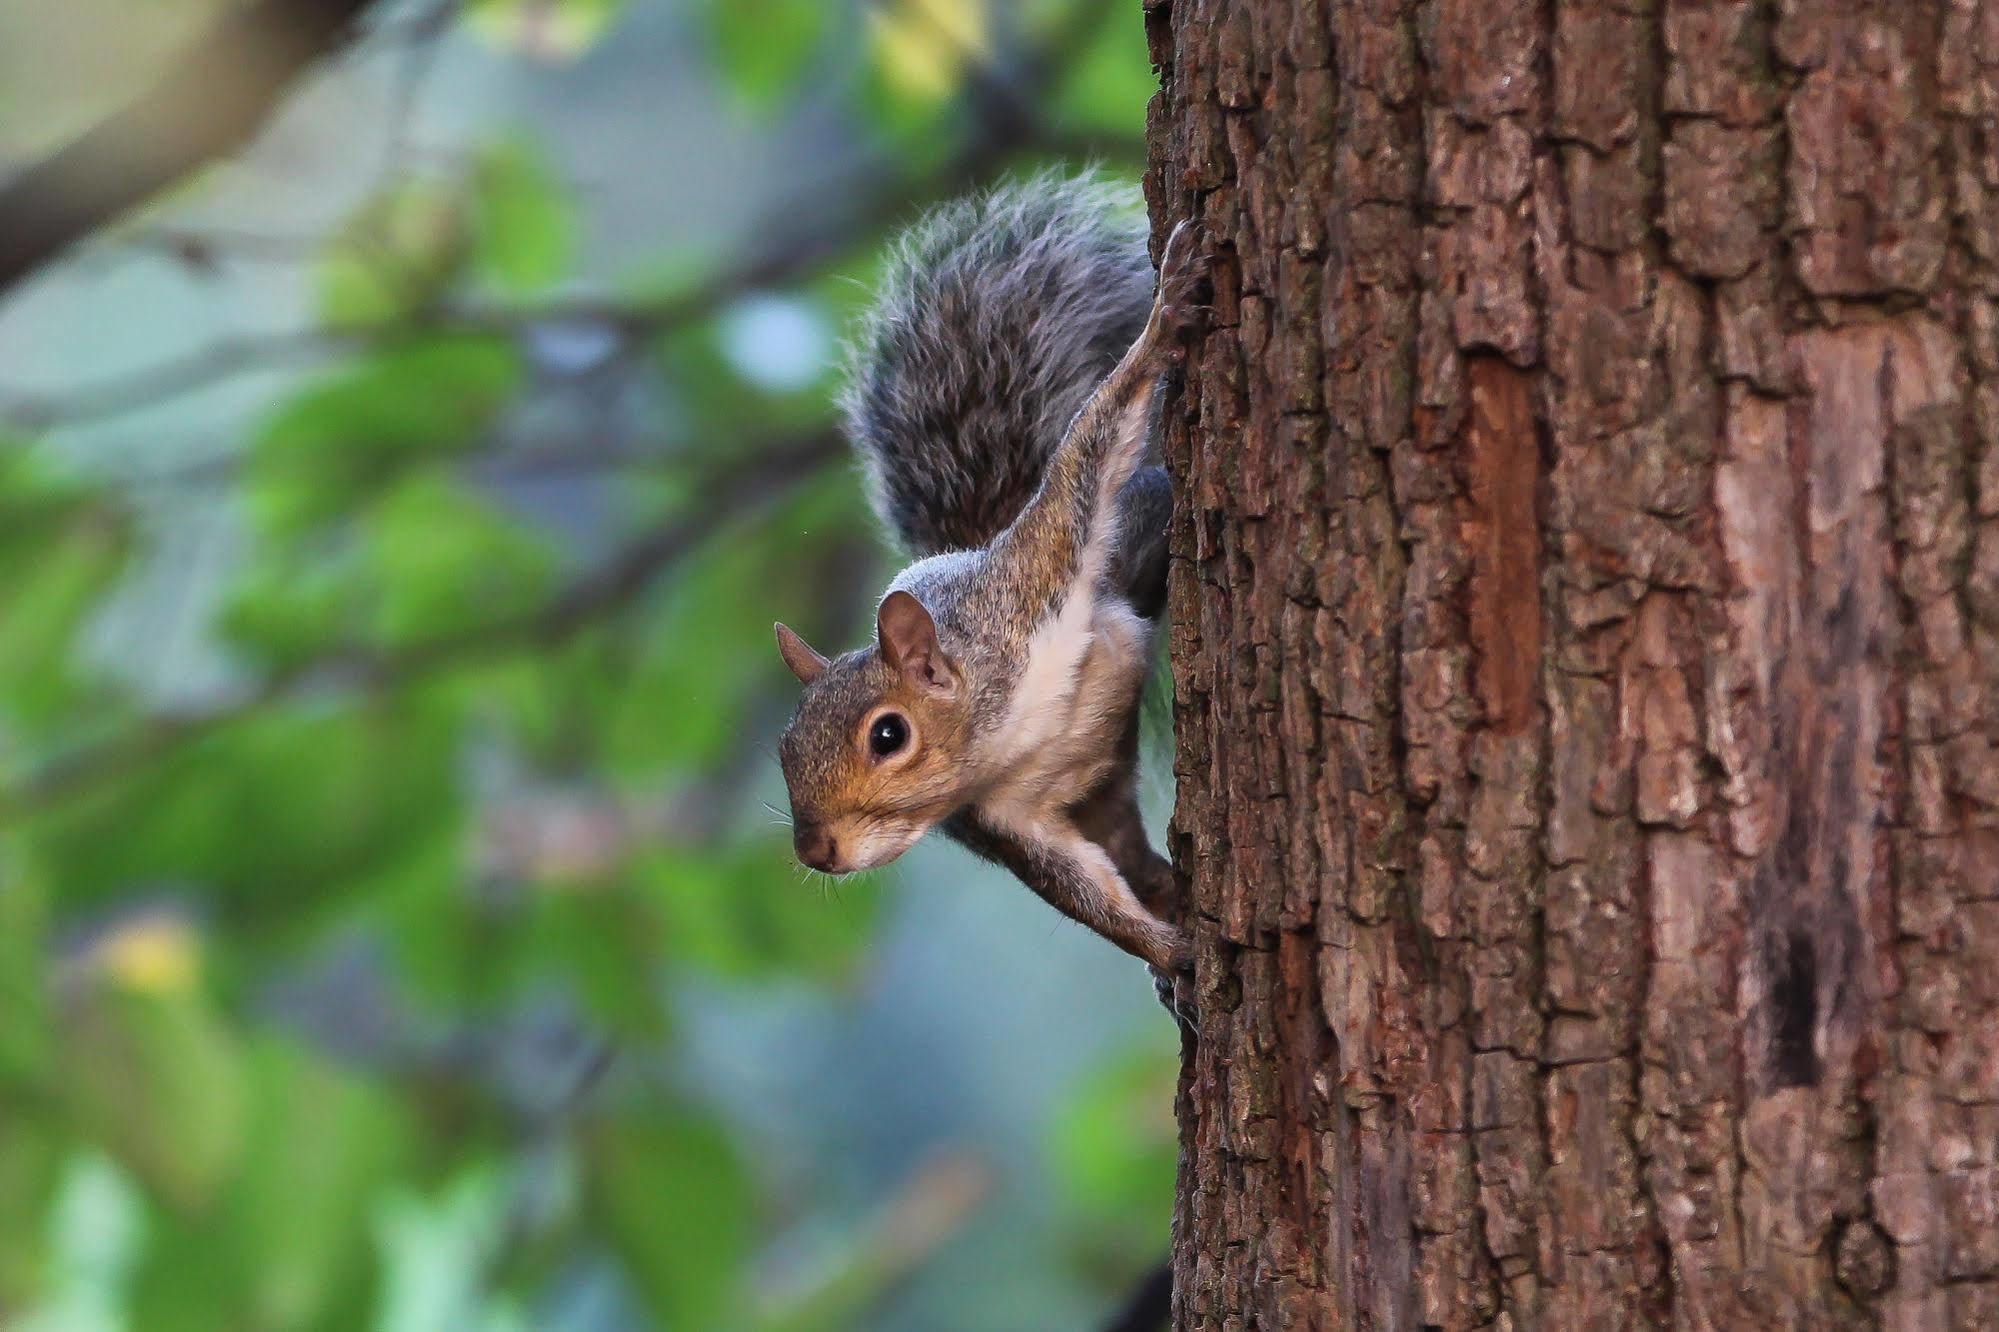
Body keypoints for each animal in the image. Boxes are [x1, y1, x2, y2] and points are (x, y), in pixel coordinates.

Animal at [767, 174, 1199, 984]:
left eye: (888, 735)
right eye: (784, 748)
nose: (815, 850)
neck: (1001, 736)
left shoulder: (1035, 575)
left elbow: (1085, 459)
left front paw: (1163, 328)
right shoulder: (1001, 819)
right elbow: (1078, 890)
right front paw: (1172, 952)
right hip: (1096, 792)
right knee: (1120, 845)